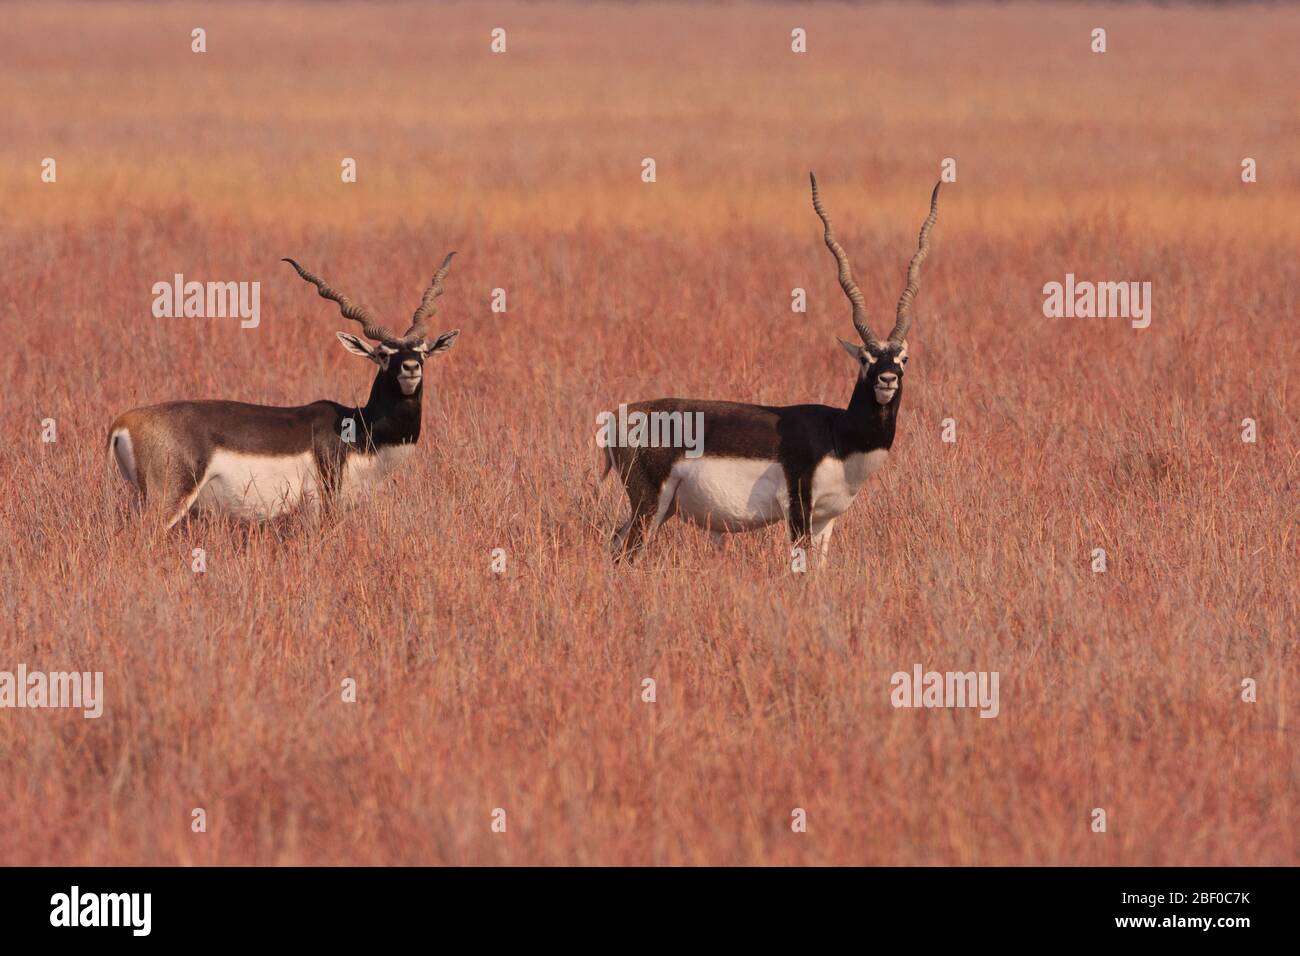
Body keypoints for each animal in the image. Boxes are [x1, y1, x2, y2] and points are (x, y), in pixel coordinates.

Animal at [107, 254, 462, 530]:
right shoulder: (321, 505)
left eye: (423, 351)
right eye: (383, 354)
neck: (360, 430)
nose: (410, 368)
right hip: (168, 501)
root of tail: (124, 423)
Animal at [603, 175, 941, 564]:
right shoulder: (797, 507)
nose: (887, 379)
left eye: (902, 359)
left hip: (659, 509)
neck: (838, 435)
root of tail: (617, 417)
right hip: (649, 505)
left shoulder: (826, 518)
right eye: (864, 359)